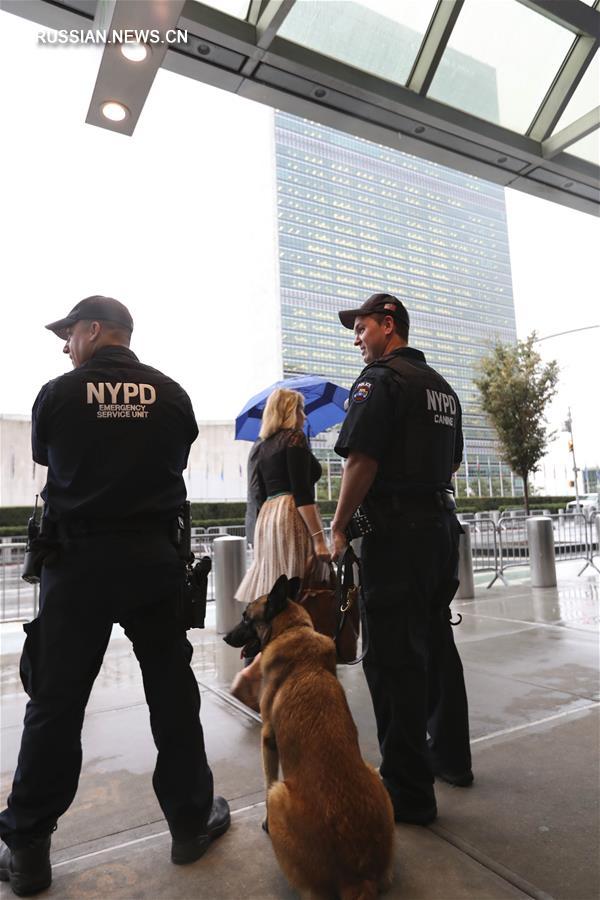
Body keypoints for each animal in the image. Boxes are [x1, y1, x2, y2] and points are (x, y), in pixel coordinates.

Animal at [225, 576, 394, 900]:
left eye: (246, 617)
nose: (226, 637)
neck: (293, 630)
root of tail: (358, 878)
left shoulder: (268, 739)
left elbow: (266, 778)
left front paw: (264, 821)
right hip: (373, 773)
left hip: (279, 794)